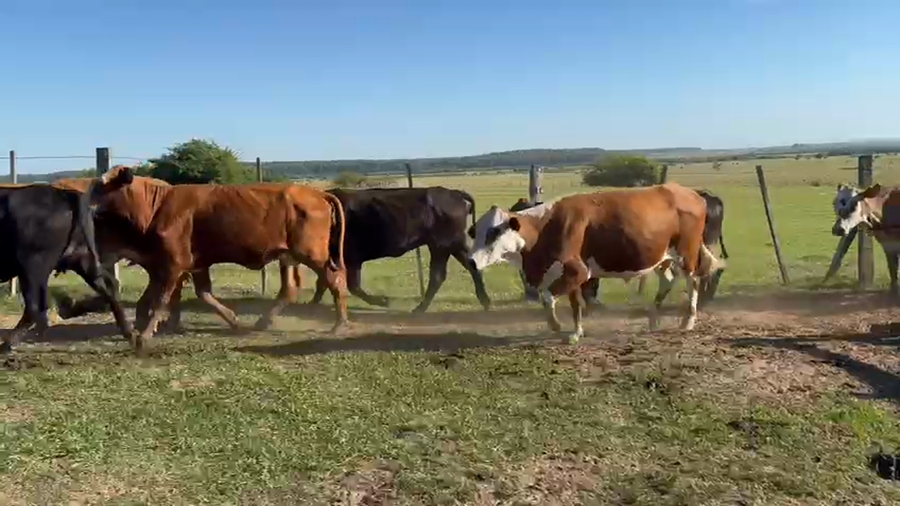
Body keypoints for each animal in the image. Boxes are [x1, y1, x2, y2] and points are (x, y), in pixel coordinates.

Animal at [0, 178, 135, 355]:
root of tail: (64, 194)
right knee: (110, 286)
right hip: (82, 260)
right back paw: (132, 336)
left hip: (31, 267)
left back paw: (6, 346)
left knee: (34, 307)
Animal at [84, 166, 349, 350]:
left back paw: (339, 325)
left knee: (334, 279)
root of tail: (317, 193)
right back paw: (263, 322)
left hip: (313, 254)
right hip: (288, 256)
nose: (86, 202)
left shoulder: (172, 266)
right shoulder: (190, 266)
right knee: (290, 288)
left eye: (102, 185)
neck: (156, 206)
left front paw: (144, 335)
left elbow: (160, 301)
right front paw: (234, 321)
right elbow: (199, 294)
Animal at [308, 186, 491, 313]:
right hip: (448, 247)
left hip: (443, 246)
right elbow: (323, 282)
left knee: (440, 275)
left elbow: (352, 286)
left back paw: (419, 309)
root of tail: (454, 193)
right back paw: (485, 303)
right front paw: (311, 303)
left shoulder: (351, 259)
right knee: (463, 269)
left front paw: (384, 301)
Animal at [468, 182, 726, 343]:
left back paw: (687, 321)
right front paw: (576, 332)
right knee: (668, 280)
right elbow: (574, 304)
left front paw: (557, 326)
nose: (471, 260)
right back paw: (653, 319)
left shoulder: (578, 271)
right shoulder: (572, 274)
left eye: (493, 233)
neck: (545, 227)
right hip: (661, 257)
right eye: (474, 232)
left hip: (687, 254)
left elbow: (548, 298)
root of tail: (692, 193)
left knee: (693, 282)